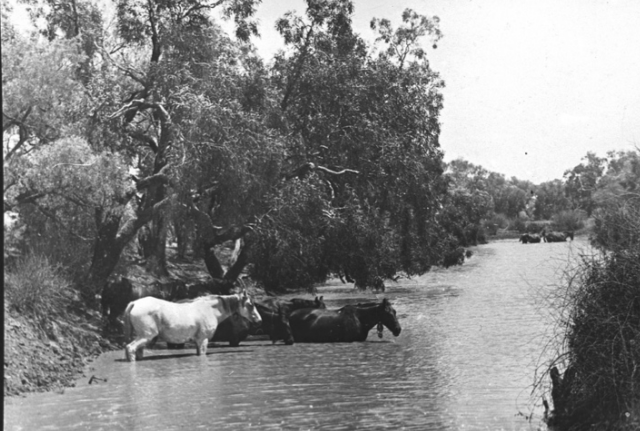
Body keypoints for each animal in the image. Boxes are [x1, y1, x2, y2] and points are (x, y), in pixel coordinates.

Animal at [124, 294, 262, 362]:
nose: (259, 320)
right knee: (130, 348)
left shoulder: (197, 341)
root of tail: (134, 303)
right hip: (146, 336)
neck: (209, 309)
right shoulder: (203, 340)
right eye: (250, 304)